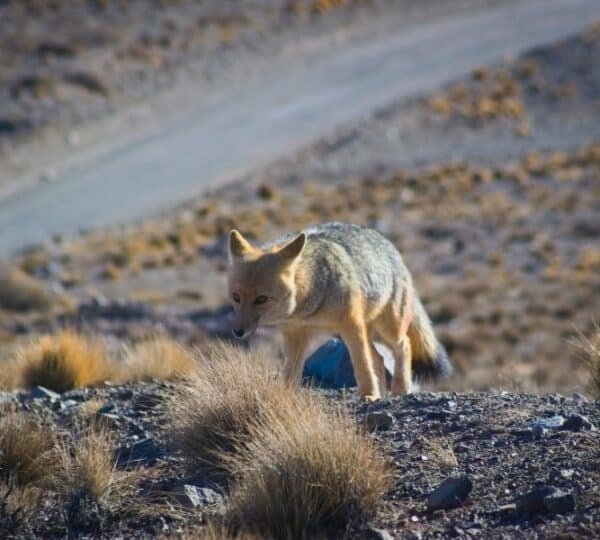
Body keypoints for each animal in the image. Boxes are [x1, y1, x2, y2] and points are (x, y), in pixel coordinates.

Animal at [227, 220, 452, 400]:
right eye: (236, 297)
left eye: (261, 299)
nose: (237, 331)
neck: (309, 305)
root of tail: (390, 247)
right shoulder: (294, 336)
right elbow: (290, 373)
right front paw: (285, 397)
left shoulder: (351, 325)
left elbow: (361, 365)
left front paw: (369, 395)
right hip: (361, 335)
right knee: (379, 360)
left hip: (387, 330)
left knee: (403, 345)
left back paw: (400, 388)